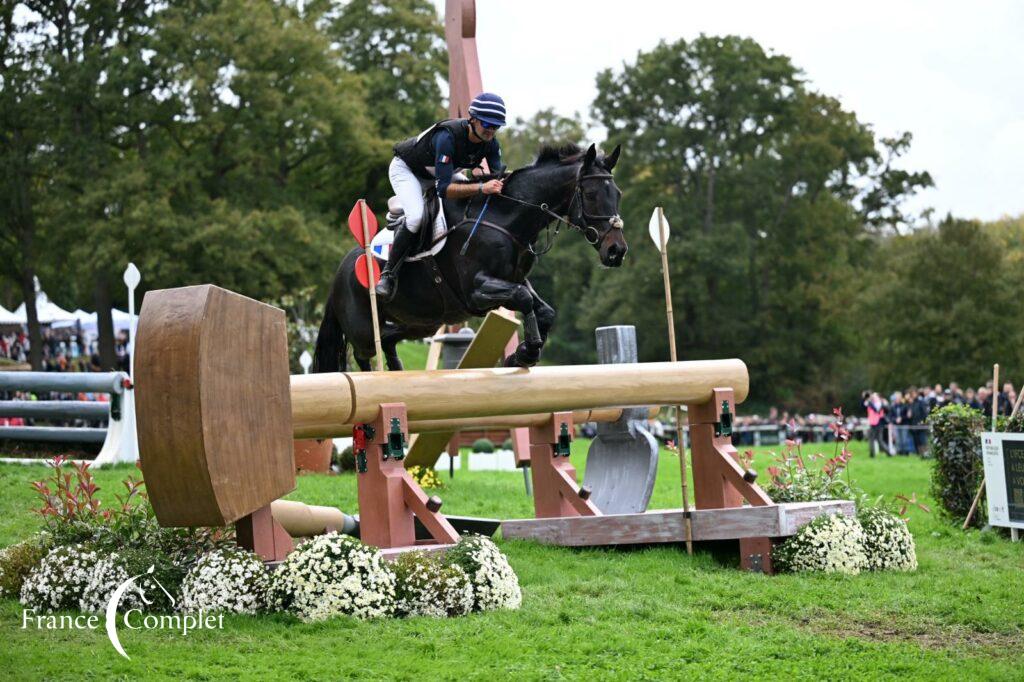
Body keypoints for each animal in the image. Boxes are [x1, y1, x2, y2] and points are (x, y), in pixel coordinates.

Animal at [311, 142, 622, 372]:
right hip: (364, 327)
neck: (506, 217)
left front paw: (523, 354)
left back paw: (397, 371)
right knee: (362, 353)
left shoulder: (514, 279)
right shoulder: (476, 290)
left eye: (617, 193)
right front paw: (527, 351)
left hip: (420, 322)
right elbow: (522, 299)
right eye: (591, 194)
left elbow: (544, 309)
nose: (617, 250)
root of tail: (340, 272)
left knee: (388, 339)